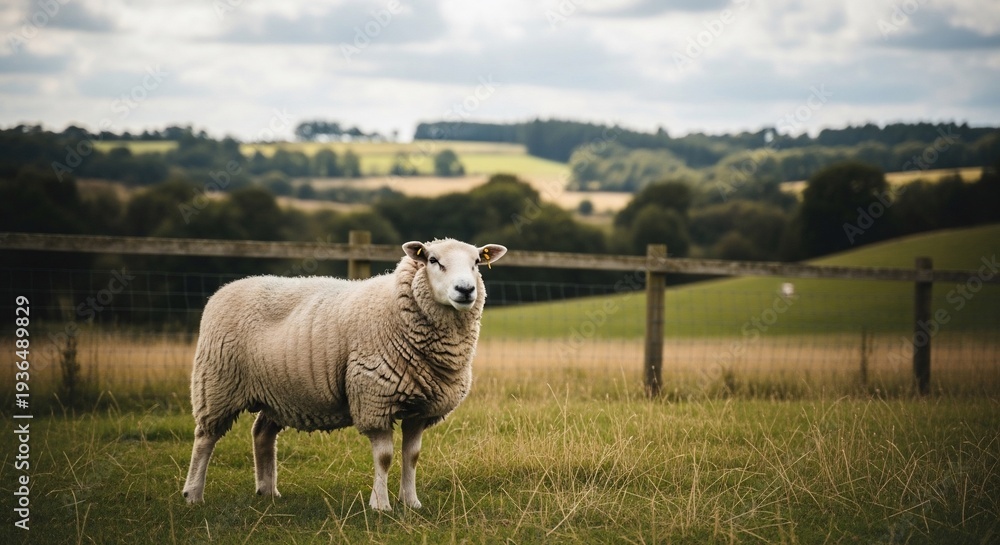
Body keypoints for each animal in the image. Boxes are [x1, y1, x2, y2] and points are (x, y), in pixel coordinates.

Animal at [181, 238, 507, 510]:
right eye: (432, 260)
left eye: (476, 262)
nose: (466, 290)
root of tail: (225, 289)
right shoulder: (374, 399)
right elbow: (385, 457)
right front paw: (381, 505)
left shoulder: (421, 409)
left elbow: (411, 456)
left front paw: (411, 502)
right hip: (216, 384)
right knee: (205, 438)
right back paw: (193, 494)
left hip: (277, 392)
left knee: (262, 433)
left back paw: (267, 492)